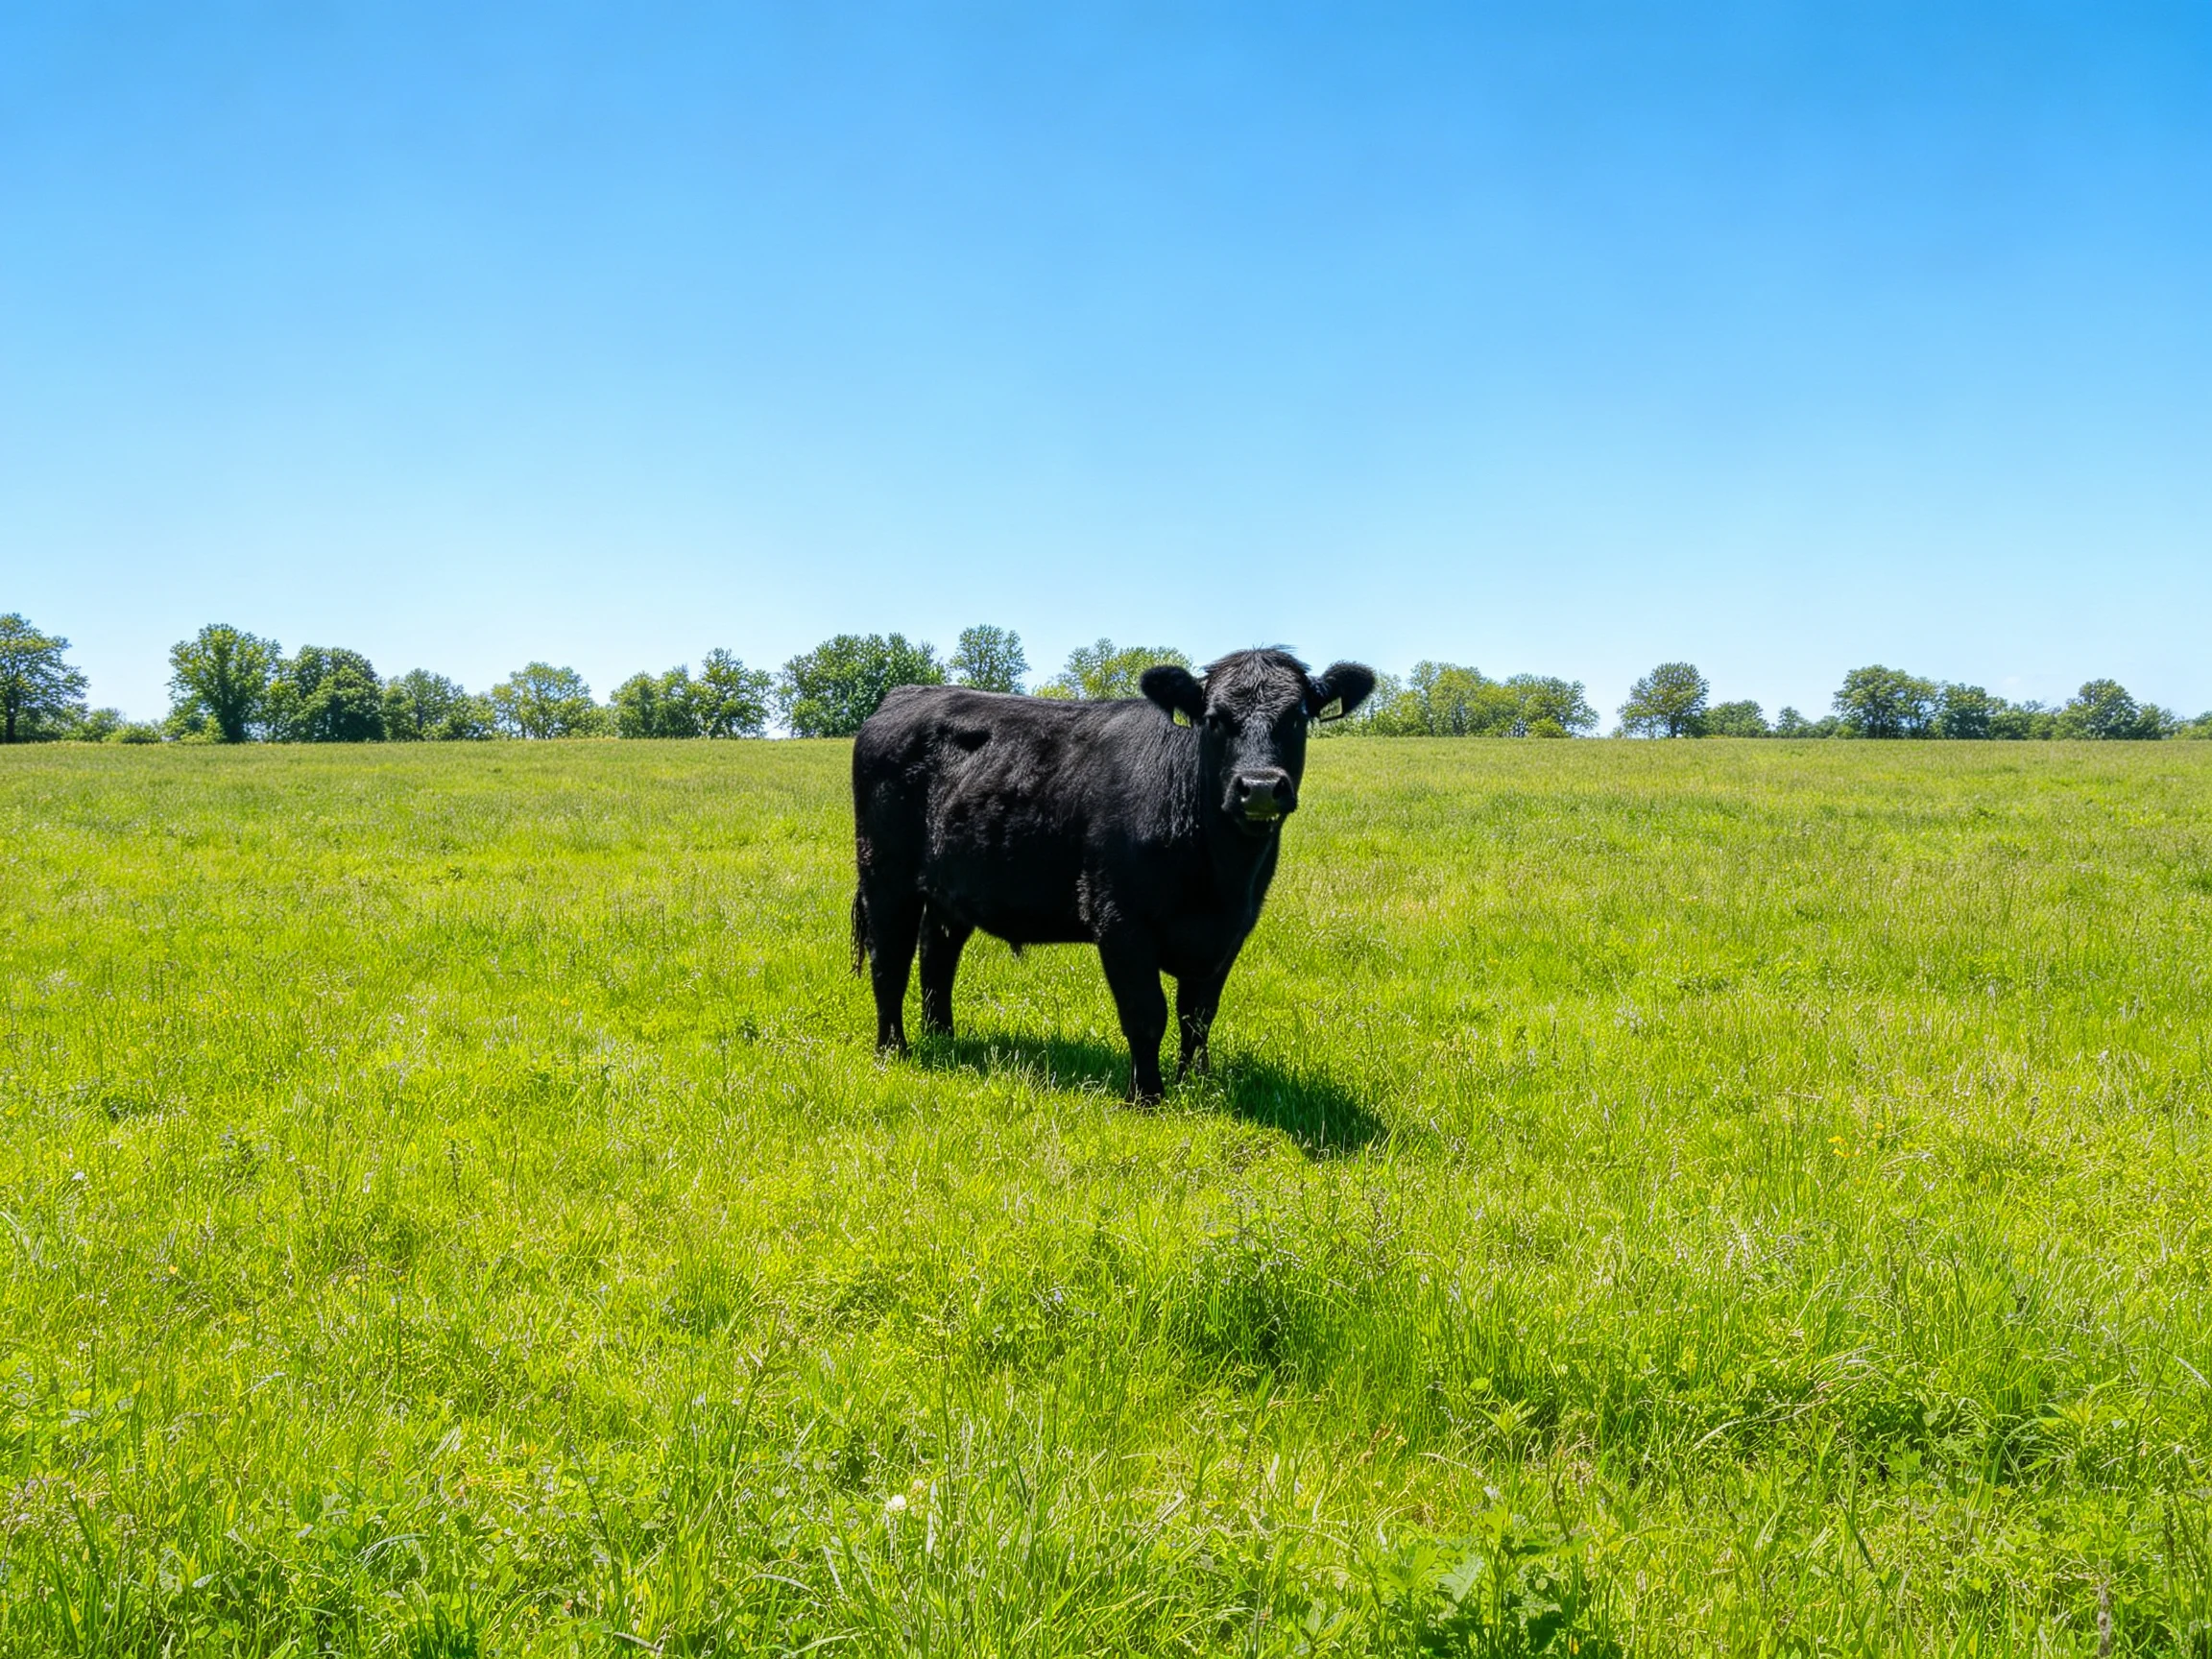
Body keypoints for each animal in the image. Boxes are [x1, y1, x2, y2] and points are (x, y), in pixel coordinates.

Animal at [849, 648, 1376, 1102]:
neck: (1219, 877)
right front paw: (1147, 1097)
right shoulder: (1121, 919)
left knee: (936, 955)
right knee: (889, 958)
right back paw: (894, 1050)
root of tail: (903, 695)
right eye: (1214, 719)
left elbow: (1198, 1014)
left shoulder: (1232, 930)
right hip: (885, 875)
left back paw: (943, 1037)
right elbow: (1146, 1013)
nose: (1261, 787)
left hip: (949, 889)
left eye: (1297, 717)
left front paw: (1195, 1085)